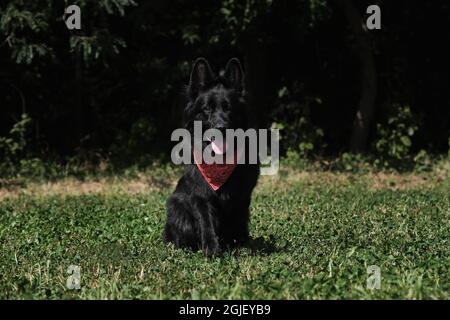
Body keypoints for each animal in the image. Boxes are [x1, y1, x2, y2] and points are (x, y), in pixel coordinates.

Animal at [163, 57, 258, 256]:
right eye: (206, 108)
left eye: (229, 108)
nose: (220, 128)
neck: (219, 162)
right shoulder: (201, 196)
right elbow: (206, 223)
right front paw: (212, 250)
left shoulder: (242, 196)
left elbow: (239, 222)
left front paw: (242, 246)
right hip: (178, 205)